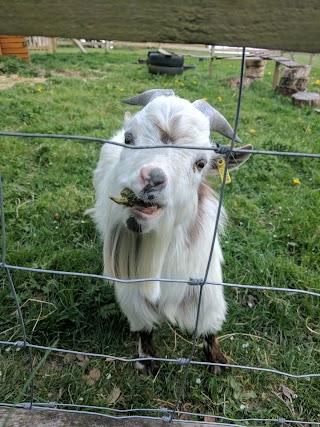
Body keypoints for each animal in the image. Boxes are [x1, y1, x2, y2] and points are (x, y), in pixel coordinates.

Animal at [92, 89, 252, 374]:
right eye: (129, 138)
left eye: (201, 163)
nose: (153, 178)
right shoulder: (132, 291)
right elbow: (144, 327)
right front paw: (147, 361)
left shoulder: (204, 287)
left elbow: (208, 325)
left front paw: (217, 361)